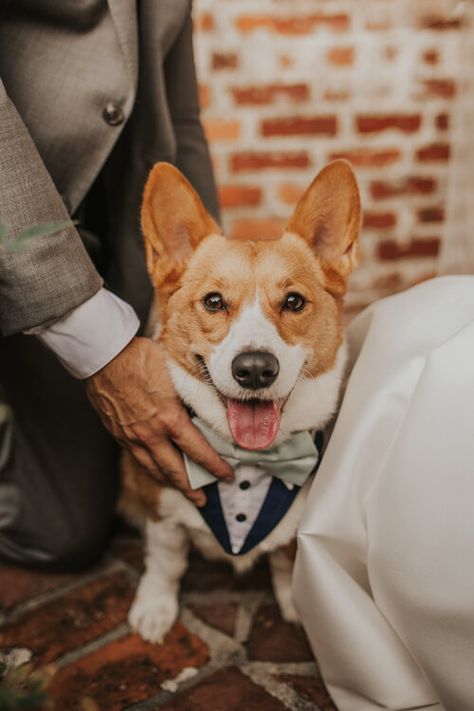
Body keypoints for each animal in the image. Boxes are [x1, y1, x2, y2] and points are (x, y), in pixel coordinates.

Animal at [120, 161, 362, 644]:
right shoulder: (162, 509)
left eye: (293, 301)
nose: (253, 369)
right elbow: (166, 562)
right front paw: (155, 608)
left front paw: (297, 604)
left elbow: (285, 561)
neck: (249, 461)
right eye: (213, 301)